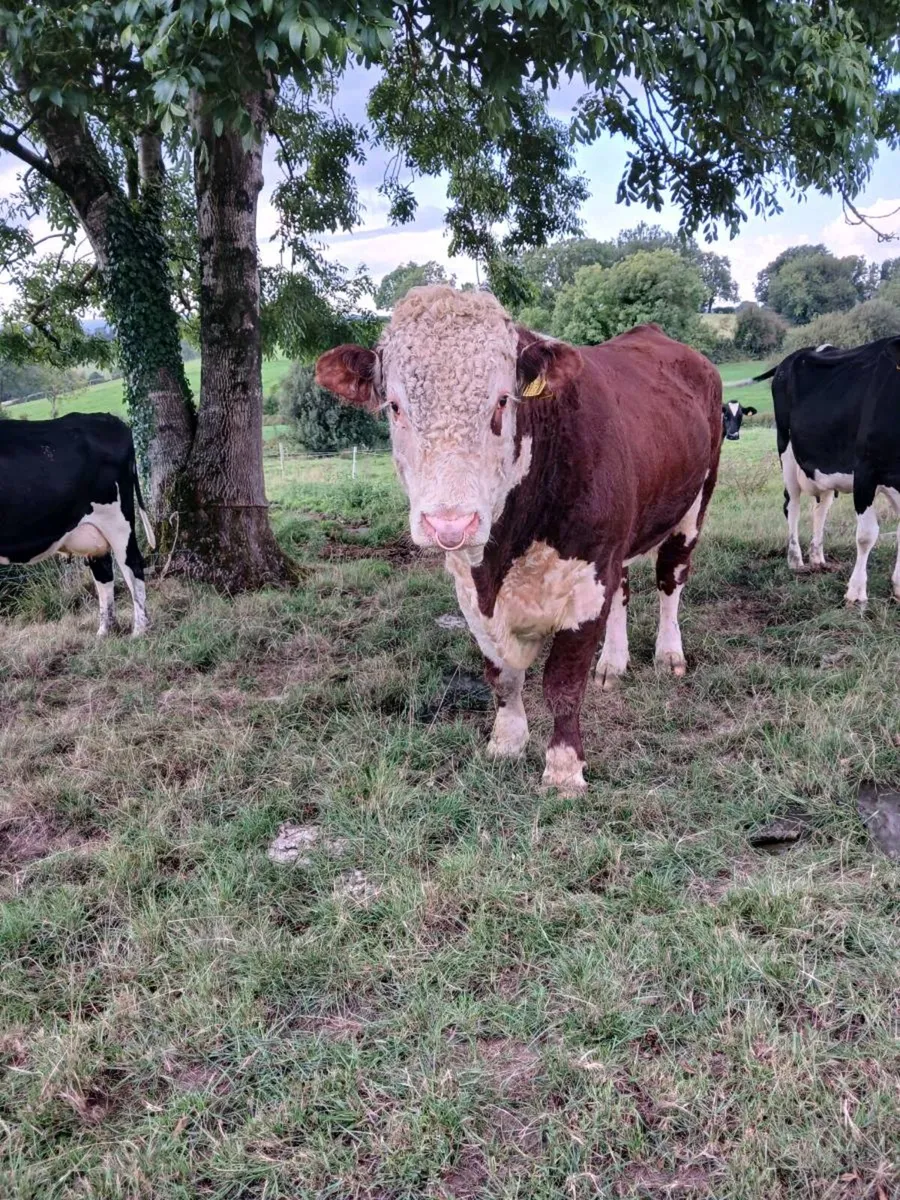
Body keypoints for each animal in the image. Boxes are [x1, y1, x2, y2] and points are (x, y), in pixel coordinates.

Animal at [0, 413, 155, 635]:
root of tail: (108, 419)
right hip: (94, 533)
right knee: (104, 572)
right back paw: (105, 632)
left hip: (118, 521)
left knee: (132, 564)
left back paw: (139, 630)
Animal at [316, 287, 722, 794]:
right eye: (394, 406)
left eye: (502, 401)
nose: (450, 523)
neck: (507, 553)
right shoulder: (472, 590)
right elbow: (503, 675)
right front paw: (506, 742)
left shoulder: (588, 578)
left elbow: (562, 683)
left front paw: (564, 767)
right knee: (625, 589)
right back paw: (613, 661)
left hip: (695, 502)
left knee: (671, 578)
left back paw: (669, 654)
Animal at [752, 338, 900, 604]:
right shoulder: (865, 471)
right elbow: (866, 534)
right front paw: (856, 593)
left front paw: (898, 587)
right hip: (786, 450)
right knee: (792, 505)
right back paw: (796, 559)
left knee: (820, 508)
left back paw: (817, 557)